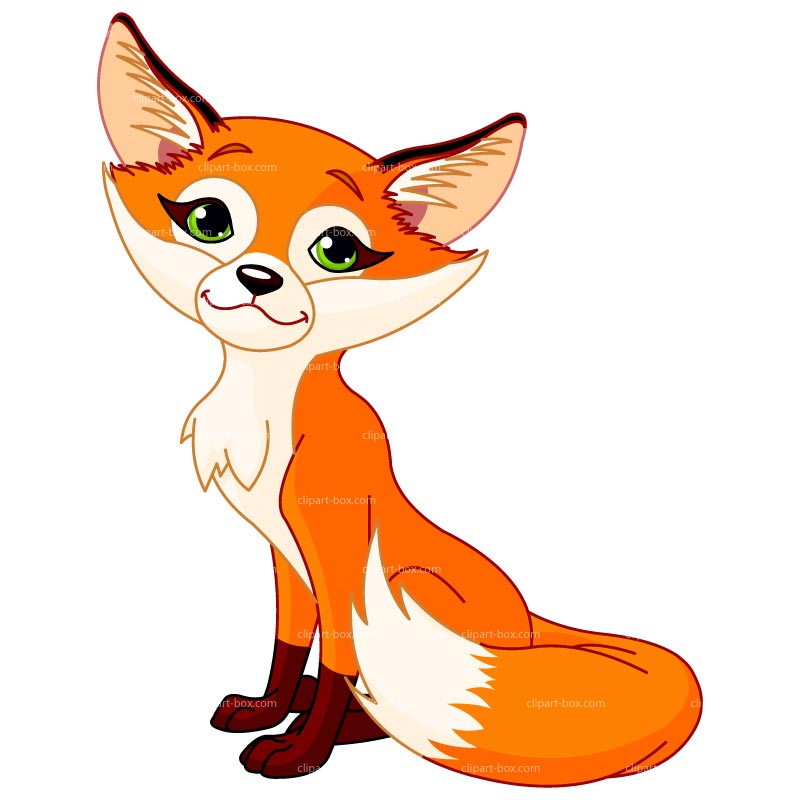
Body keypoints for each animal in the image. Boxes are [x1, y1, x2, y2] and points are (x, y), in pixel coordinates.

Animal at [98, 13, 701, 786]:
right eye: (209, 221)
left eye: (336, 251)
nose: (259, 278)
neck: (266, 410)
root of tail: (530, 622)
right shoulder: (286, 554)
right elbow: (289, 644)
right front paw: (270, 708)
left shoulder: (335, 542)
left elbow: (335, 661)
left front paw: (302, 751)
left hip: (412, 587)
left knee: (378, 695)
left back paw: (349, 726)